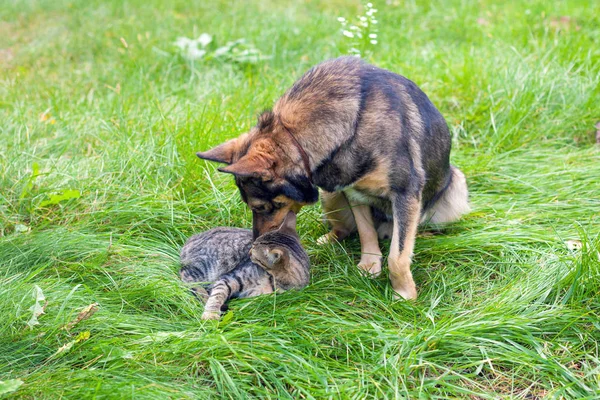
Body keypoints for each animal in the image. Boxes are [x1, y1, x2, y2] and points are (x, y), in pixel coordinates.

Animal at [178, 212, 310, 318]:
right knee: (186, 275)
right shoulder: (229, 278)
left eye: (254, 250)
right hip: (210, 266)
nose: (249, 252)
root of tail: (191, 239)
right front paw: (211, 315)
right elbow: (217, 295)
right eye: (252, 244)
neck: (274, 282)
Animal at [197, 56, 468, 300]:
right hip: (331, 196)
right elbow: (365, 232)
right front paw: (370, 265)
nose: (254, 245)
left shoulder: (405, 193)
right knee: (346, 228)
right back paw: (328, 239)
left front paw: (404, 294)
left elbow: (397, 256)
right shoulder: (353, 191)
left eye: (262, 207)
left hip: (455, 186)